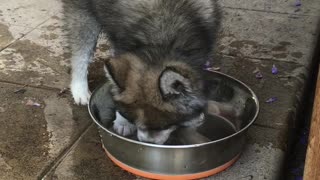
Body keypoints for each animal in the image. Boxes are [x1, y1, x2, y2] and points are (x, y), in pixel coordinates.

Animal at [63, 0, 220, 143]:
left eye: (166, 125)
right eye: (131, 118)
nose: (148, 143)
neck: (162, 42)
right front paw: (123, 122)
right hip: (84, 15)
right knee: (81, 52)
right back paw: (80, 89)